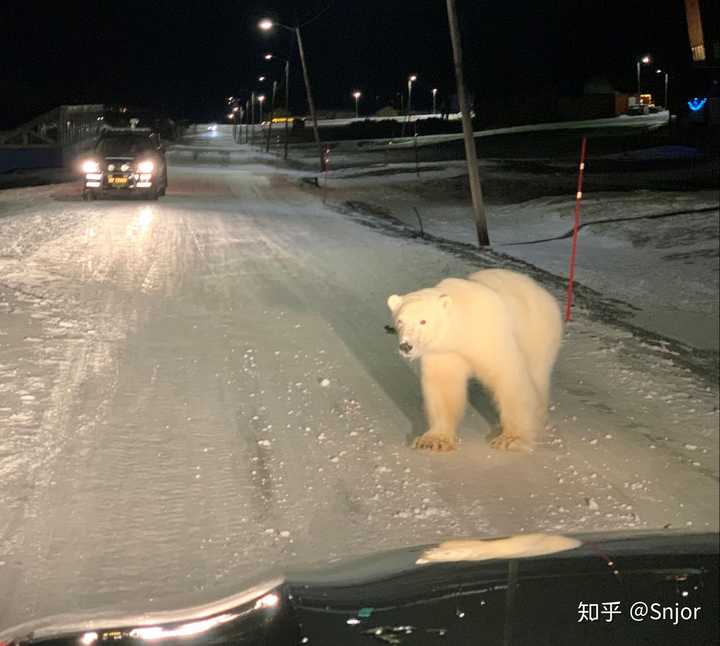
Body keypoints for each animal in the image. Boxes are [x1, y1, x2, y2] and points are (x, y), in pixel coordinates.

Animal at [388, 270, 564, 454]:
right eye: (400, 321)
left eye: (423, 321)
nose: (406, 346)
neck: (462, 328)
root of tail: (542, 292)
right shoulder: (445, 351)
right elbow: (444, 386)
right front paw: (434, 440)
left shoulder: (489, 336)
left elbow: (508, 377)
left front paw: (510, 439)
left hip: (538, 333)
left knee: (537, 375)